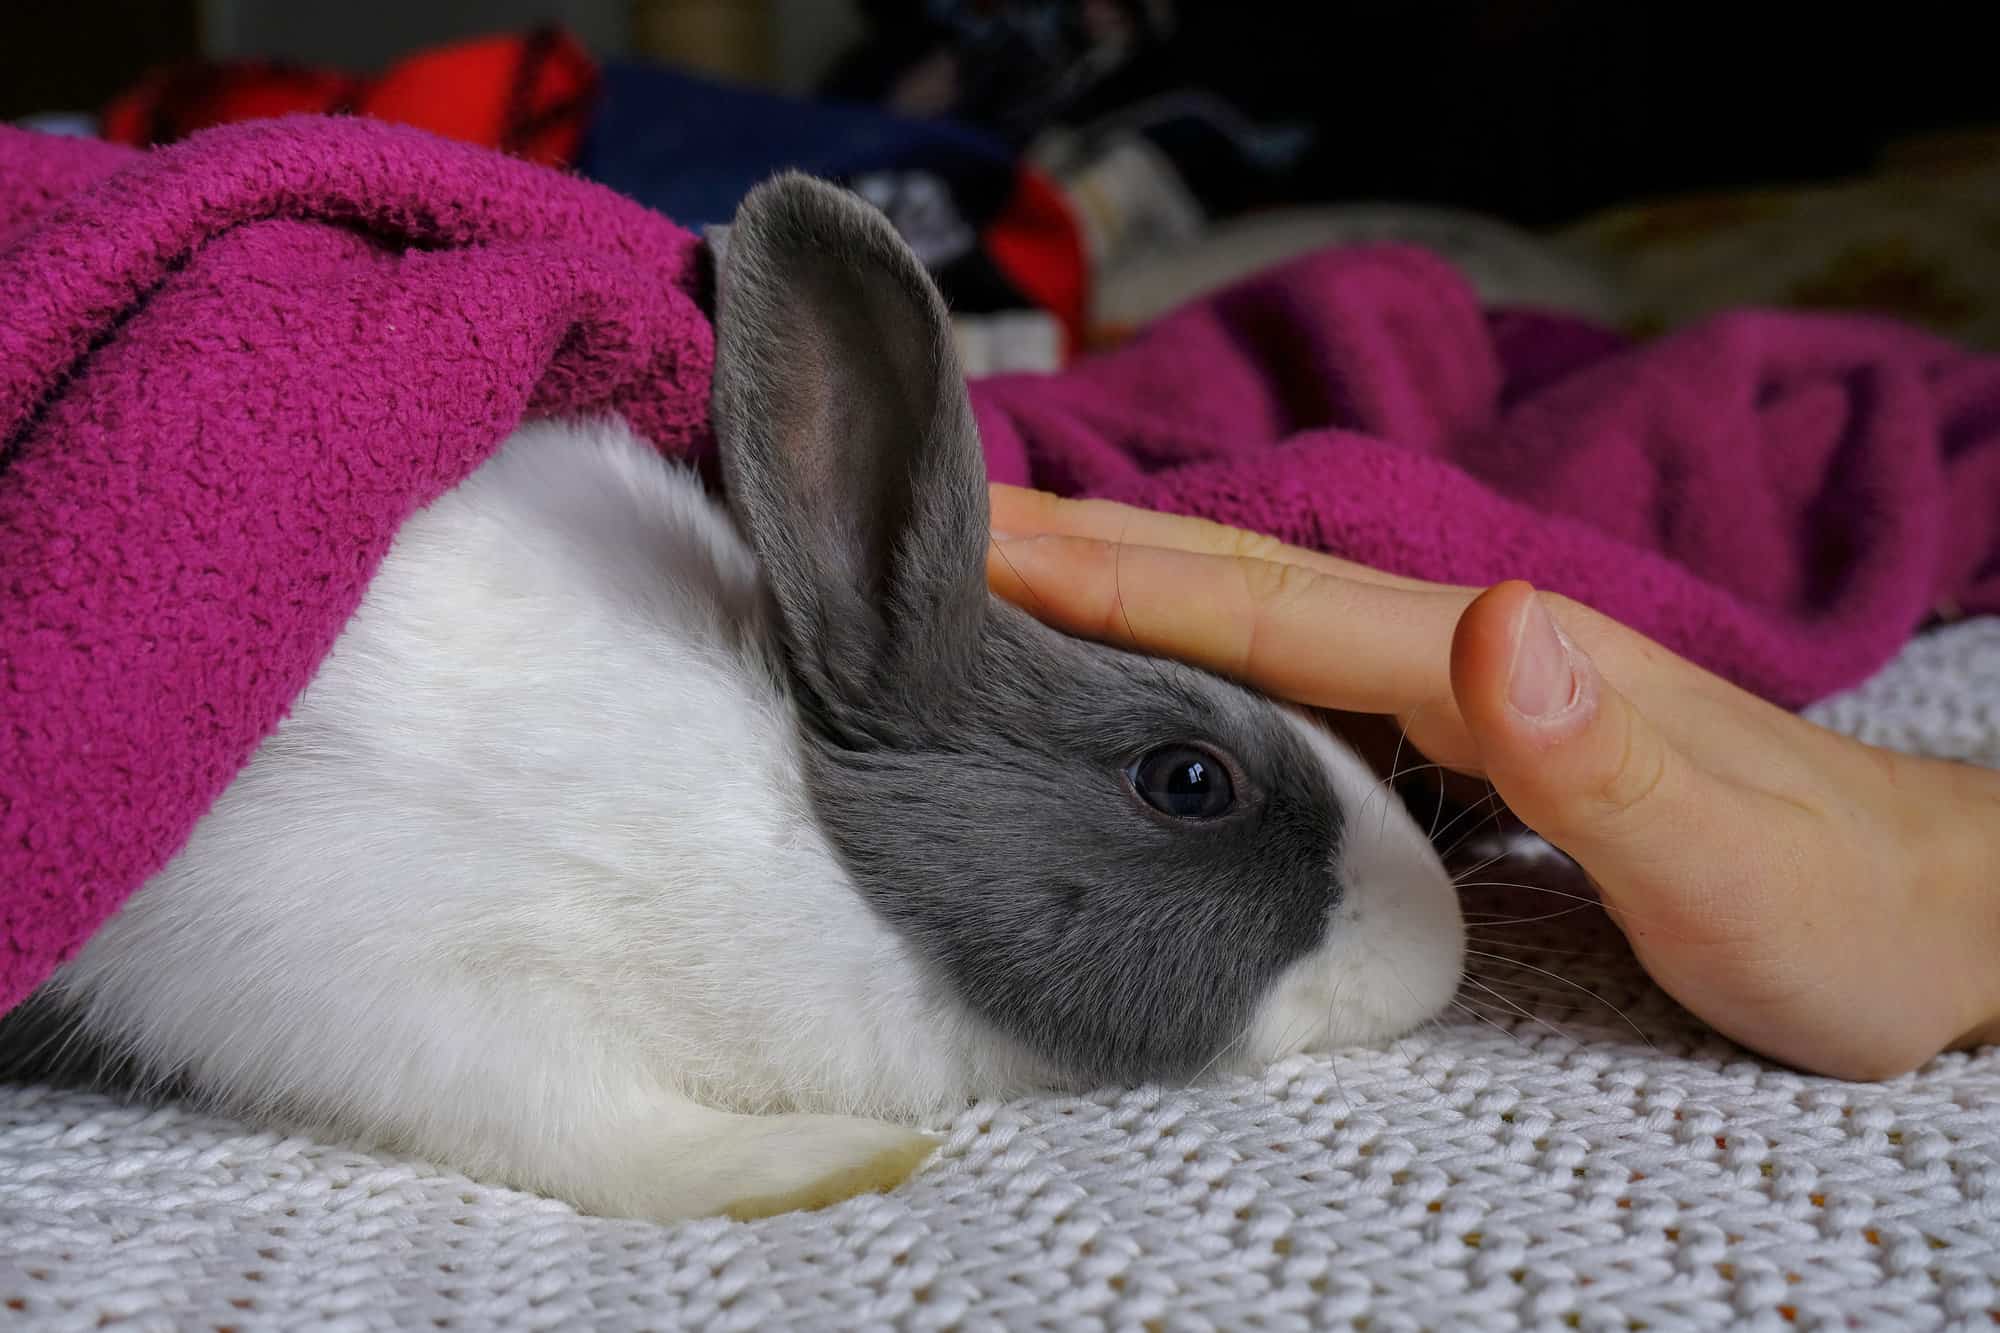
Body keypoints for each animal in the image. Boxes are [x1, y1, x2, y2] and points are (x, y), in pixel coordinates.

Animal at [0, 174, 1472, 1216]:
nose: (1443, 939)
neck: (820, 847)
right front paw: (828, 1161)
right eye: (1186, 779)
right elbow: (581, 1121)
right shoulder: (345, 959)